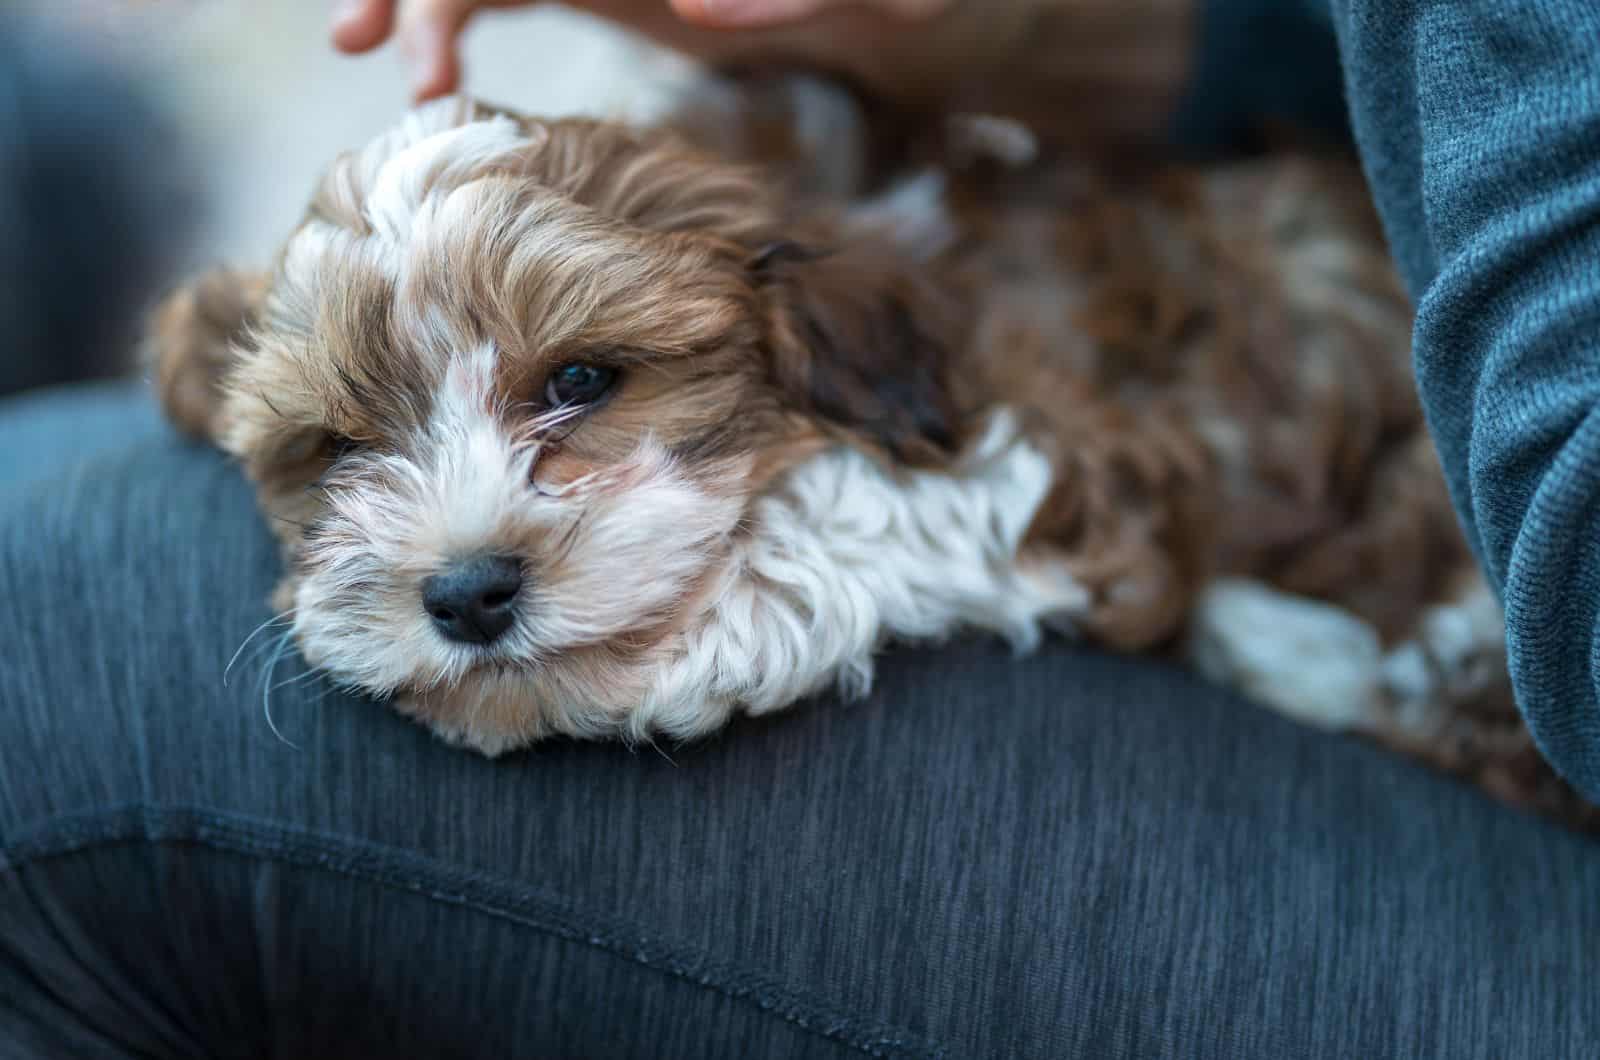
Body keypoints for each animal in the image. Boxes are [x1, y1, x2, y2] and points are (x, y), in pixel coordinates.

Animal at [152, 74, 1600, 832]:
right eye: (337, 446)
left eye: (579, 380)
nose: (464, 593)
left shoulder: (1077, 455)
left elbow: (859, 519)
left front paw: (686, 643)